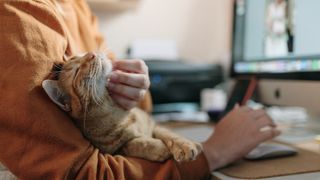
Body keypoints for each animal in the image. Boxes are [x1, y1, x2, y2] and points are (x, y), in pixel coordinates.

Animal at [42, 52, 201, 162]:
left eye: (81, 54)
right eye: (76, 71)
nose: (92, 53)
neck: (116, 113)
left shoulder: (154, 125)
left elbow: (171, 135)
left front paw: (186, 146)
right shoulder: (114, 151)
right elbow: (134, 144)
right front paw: (160, 148)